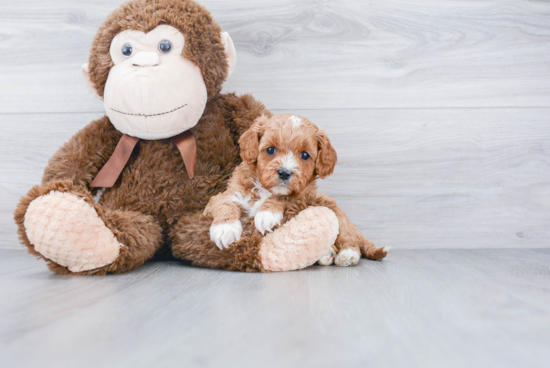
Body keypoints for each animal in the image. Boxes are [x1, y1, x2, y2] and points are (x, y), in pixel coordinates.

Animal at [205, 113, 390, 266]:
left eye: (305, 155)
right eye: (270, 149)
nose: (284, 173)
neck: (265, 190)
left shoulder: (304, 195)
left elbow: (285, 197)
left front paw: (267, 213)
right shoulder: (224, 196)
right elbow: (225, 204)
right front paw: (225, 229)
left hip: (337, 214)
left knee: (350, 240)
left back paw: (347, 254)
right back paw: (327, 254)